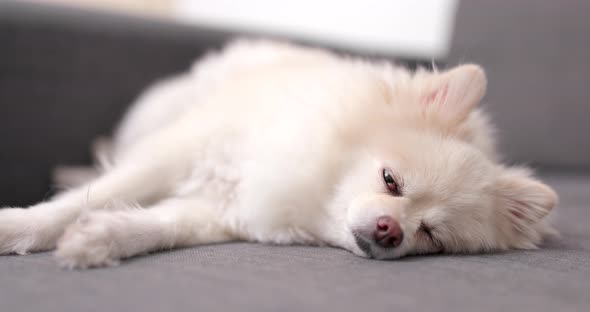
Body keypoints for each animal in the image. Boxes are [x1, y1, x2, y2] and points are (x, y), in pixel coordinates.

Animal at [0, 39, 556, 268]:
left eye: (430, 236)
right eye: (390, 180)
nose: (390, 232)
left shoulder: (217, 213)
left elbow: (154, 226)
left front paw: (99, 240)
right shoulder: (175, 155)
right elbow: (84, 199)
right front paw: (18, 227)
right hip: (158, 116)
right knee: (105, 158)